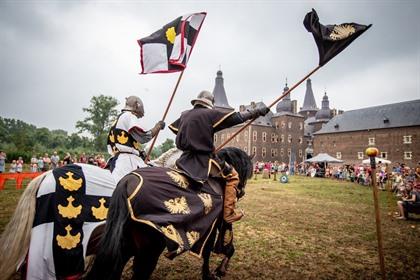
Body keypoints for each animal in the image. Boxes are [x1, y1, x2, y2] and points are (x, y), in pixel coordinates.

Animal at [85, 147, 251, 280]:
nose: (241, 192)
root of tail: (125, 183)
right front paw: (214, 272)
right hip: (148, 251)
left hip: (126, 247)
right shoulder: (213, 227)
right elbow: (210, 251)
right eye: (243, 172)